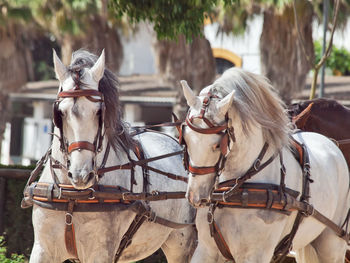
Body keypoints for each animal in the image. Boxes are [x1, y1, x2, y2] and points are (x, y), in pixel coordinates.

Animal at [26, 50, 197, 263]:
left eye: (99, 112)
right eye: (61, 113)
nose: (81, 175)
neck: (73, 196)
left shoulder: (100, 252)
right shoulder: (43, 250)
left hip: (180, 242)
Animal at [180, 68, 350, 263]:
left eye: (217, 145)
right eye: (185, 139)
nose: (195, 197)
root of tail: (331, 143)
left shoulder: (256, 255)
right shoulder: (206, 249)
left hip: (332, 244)